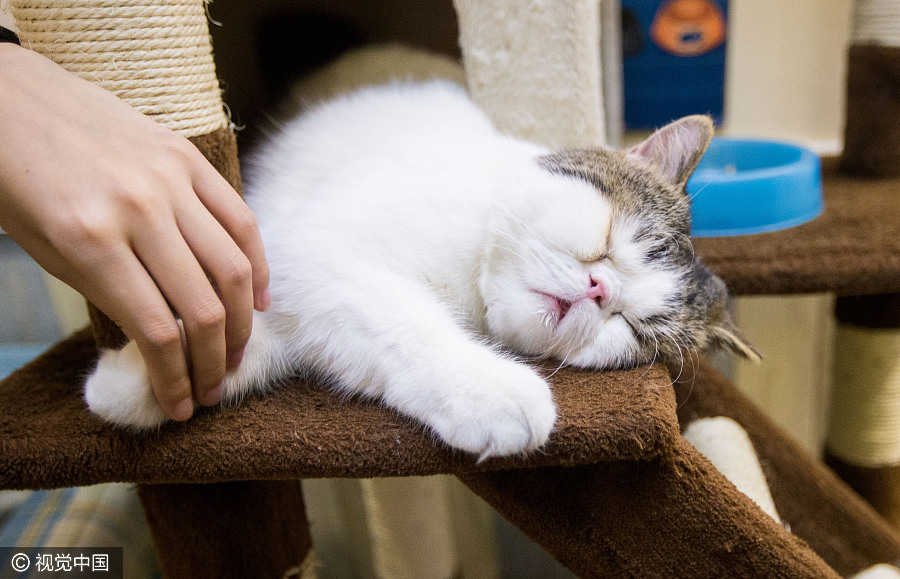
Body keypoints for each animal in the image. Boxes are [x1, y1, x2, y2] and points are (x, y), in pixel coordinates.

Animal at [86, 81, 760, 460]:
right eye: (610, 244)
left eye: (632, 327)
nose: (600, 289)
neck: (471, 286)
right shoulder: (312, 250)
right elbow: (405, 323)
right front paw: (493, 390)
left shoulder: (308, 277)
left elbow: (265, 341)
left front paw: (139, 386)